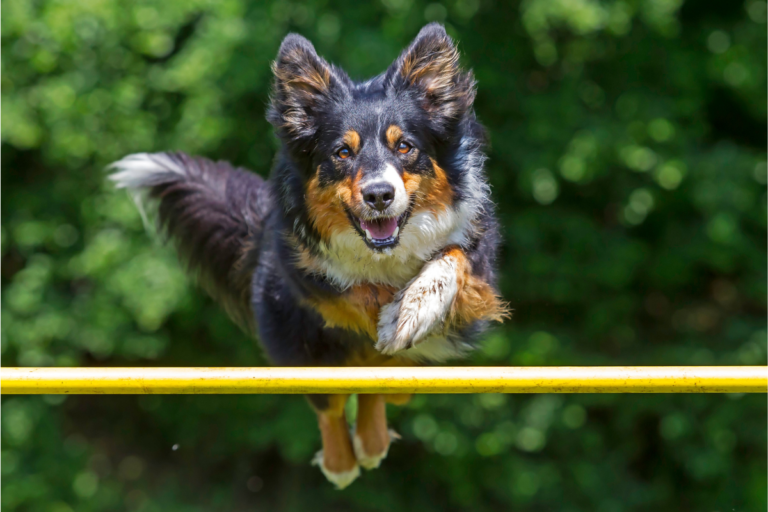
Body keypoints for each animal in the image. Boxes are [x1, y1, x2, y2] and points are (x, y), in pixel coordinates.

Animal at [108, 24, 504, 488]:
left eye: (405, 146)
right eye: (342, 152)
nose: (379, 195)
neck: (384, 252)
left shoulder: (477, 256)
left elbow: (452, 259)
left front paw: (411, 310)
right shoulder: (298, 267)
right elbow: (349, 291)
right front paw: (388, 309)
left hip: (410, 372)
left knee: (381, 385)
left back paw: (371, 440)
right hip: (302, 349)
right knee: (332, 404)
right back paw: (344, 462)